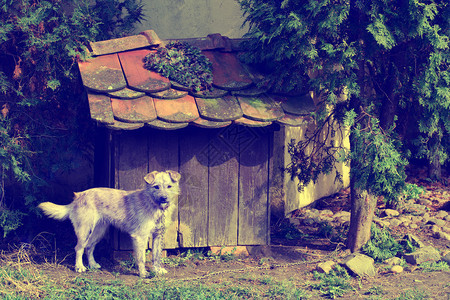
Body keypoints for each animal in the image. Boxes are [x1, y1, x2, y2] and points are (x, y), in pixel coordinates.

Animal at [37, 170, 180, 278]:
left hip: (98, 232)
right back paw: (79, 267)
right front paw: (143, 273)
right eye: (156, 187)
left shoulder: (158, 236)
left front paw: (157, 270)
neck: (154, 205)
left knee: (89, 247)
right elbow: (141, 258)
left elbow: (156, 255)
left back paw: (92, 265)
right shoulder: (140, 237)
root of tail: (78, 197)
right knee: (78, 248)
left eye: (169, 186)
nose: (164, 198)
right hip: (85, 230)